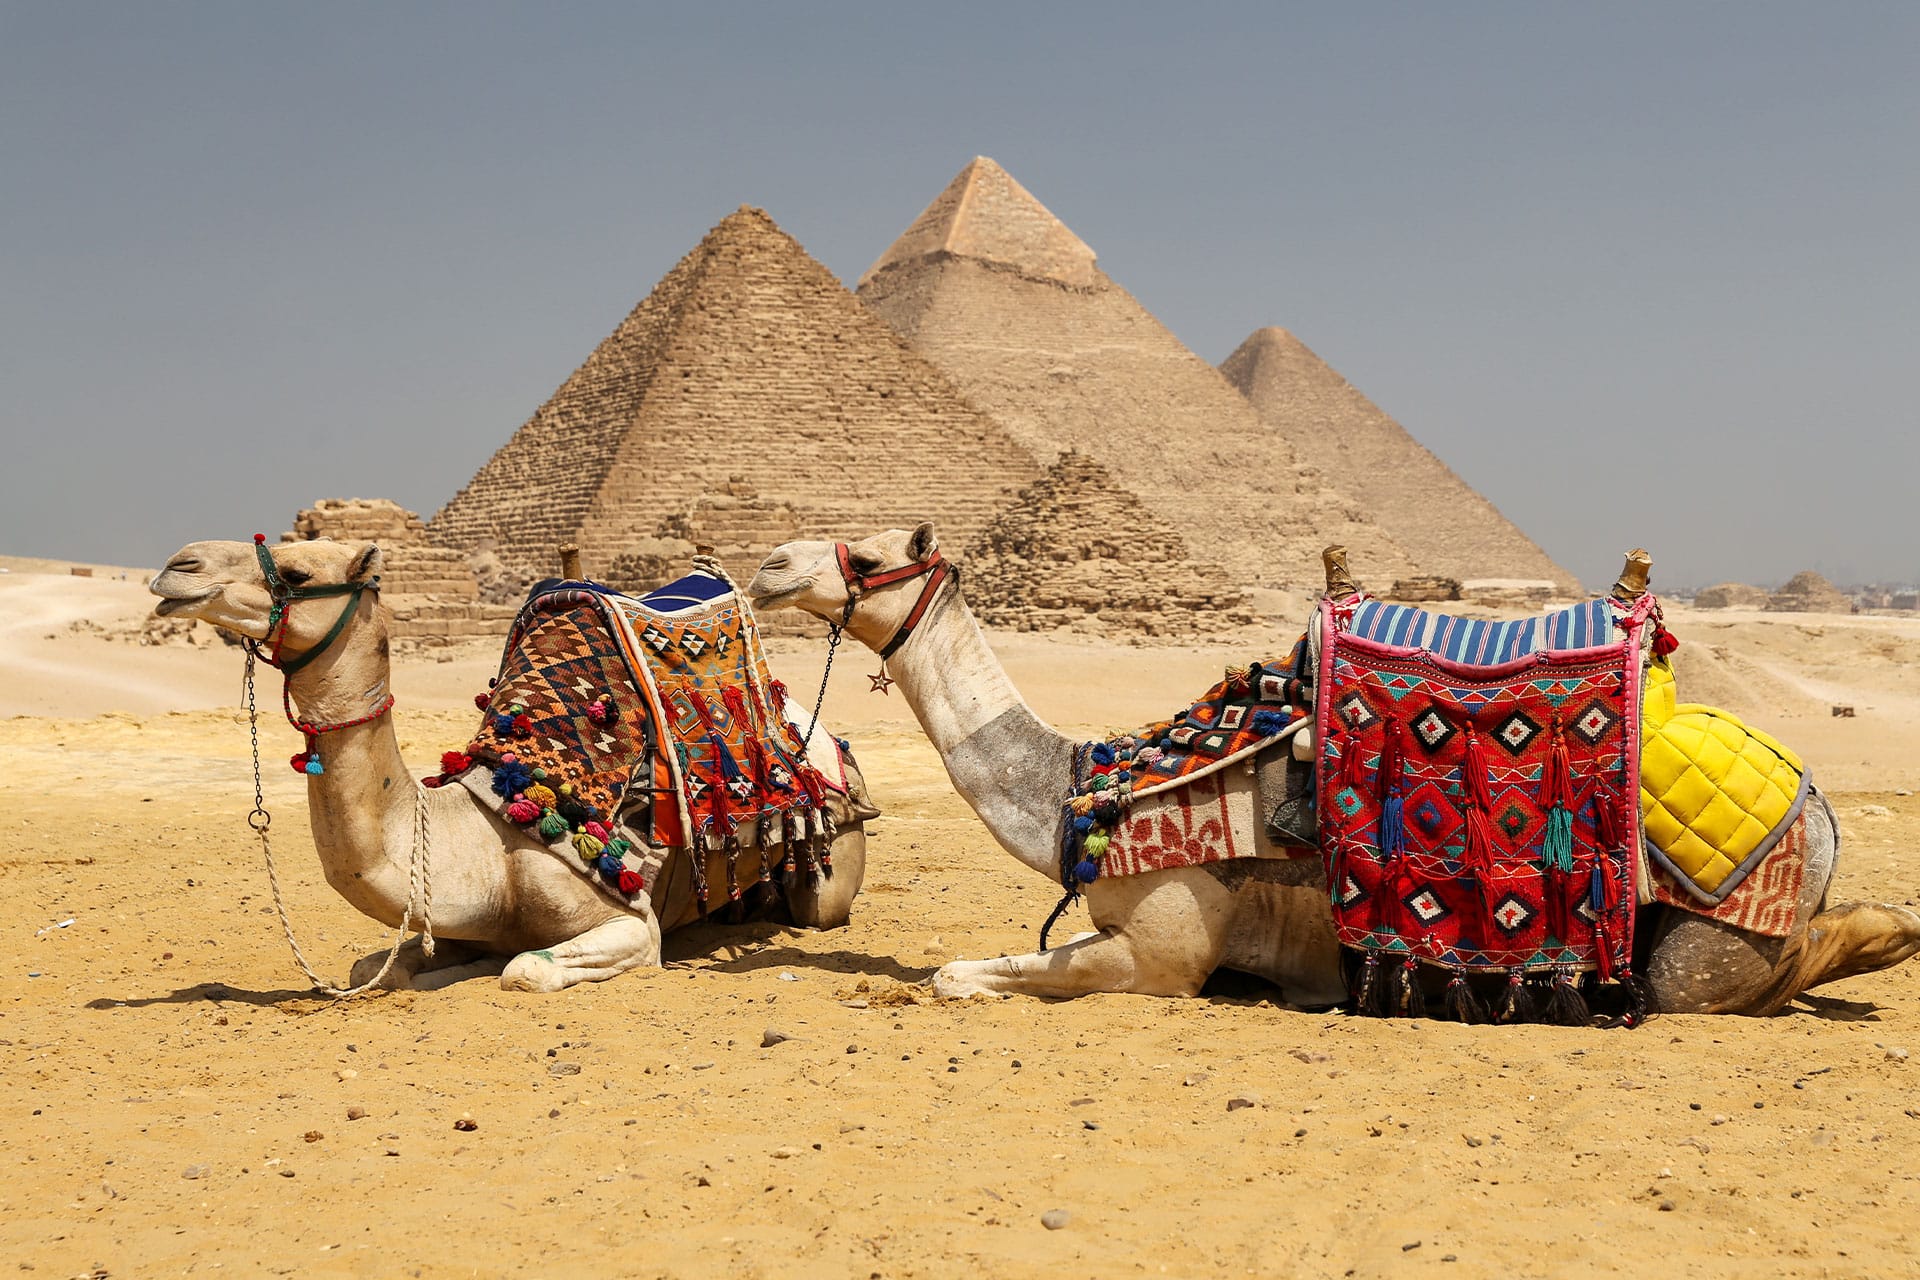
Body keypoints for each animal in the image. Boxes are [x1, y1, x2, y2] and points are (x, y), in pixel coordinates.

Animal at [150, 537, 870, 993]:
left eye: (297, 573)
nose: (178, 566)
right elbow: (387, 968)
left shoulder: (634, 929)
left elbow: (524, 968)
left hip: (832, 869)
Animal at [748, 524, 1920, 1015]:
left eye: (867, 553)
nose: (768, 565)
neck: (1093, 784)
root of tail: (1820, 809)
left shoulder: (1167, 948)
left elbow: (972, 974)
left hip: (1708, 946)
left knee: (1766, 963)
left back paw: (1887, 933)